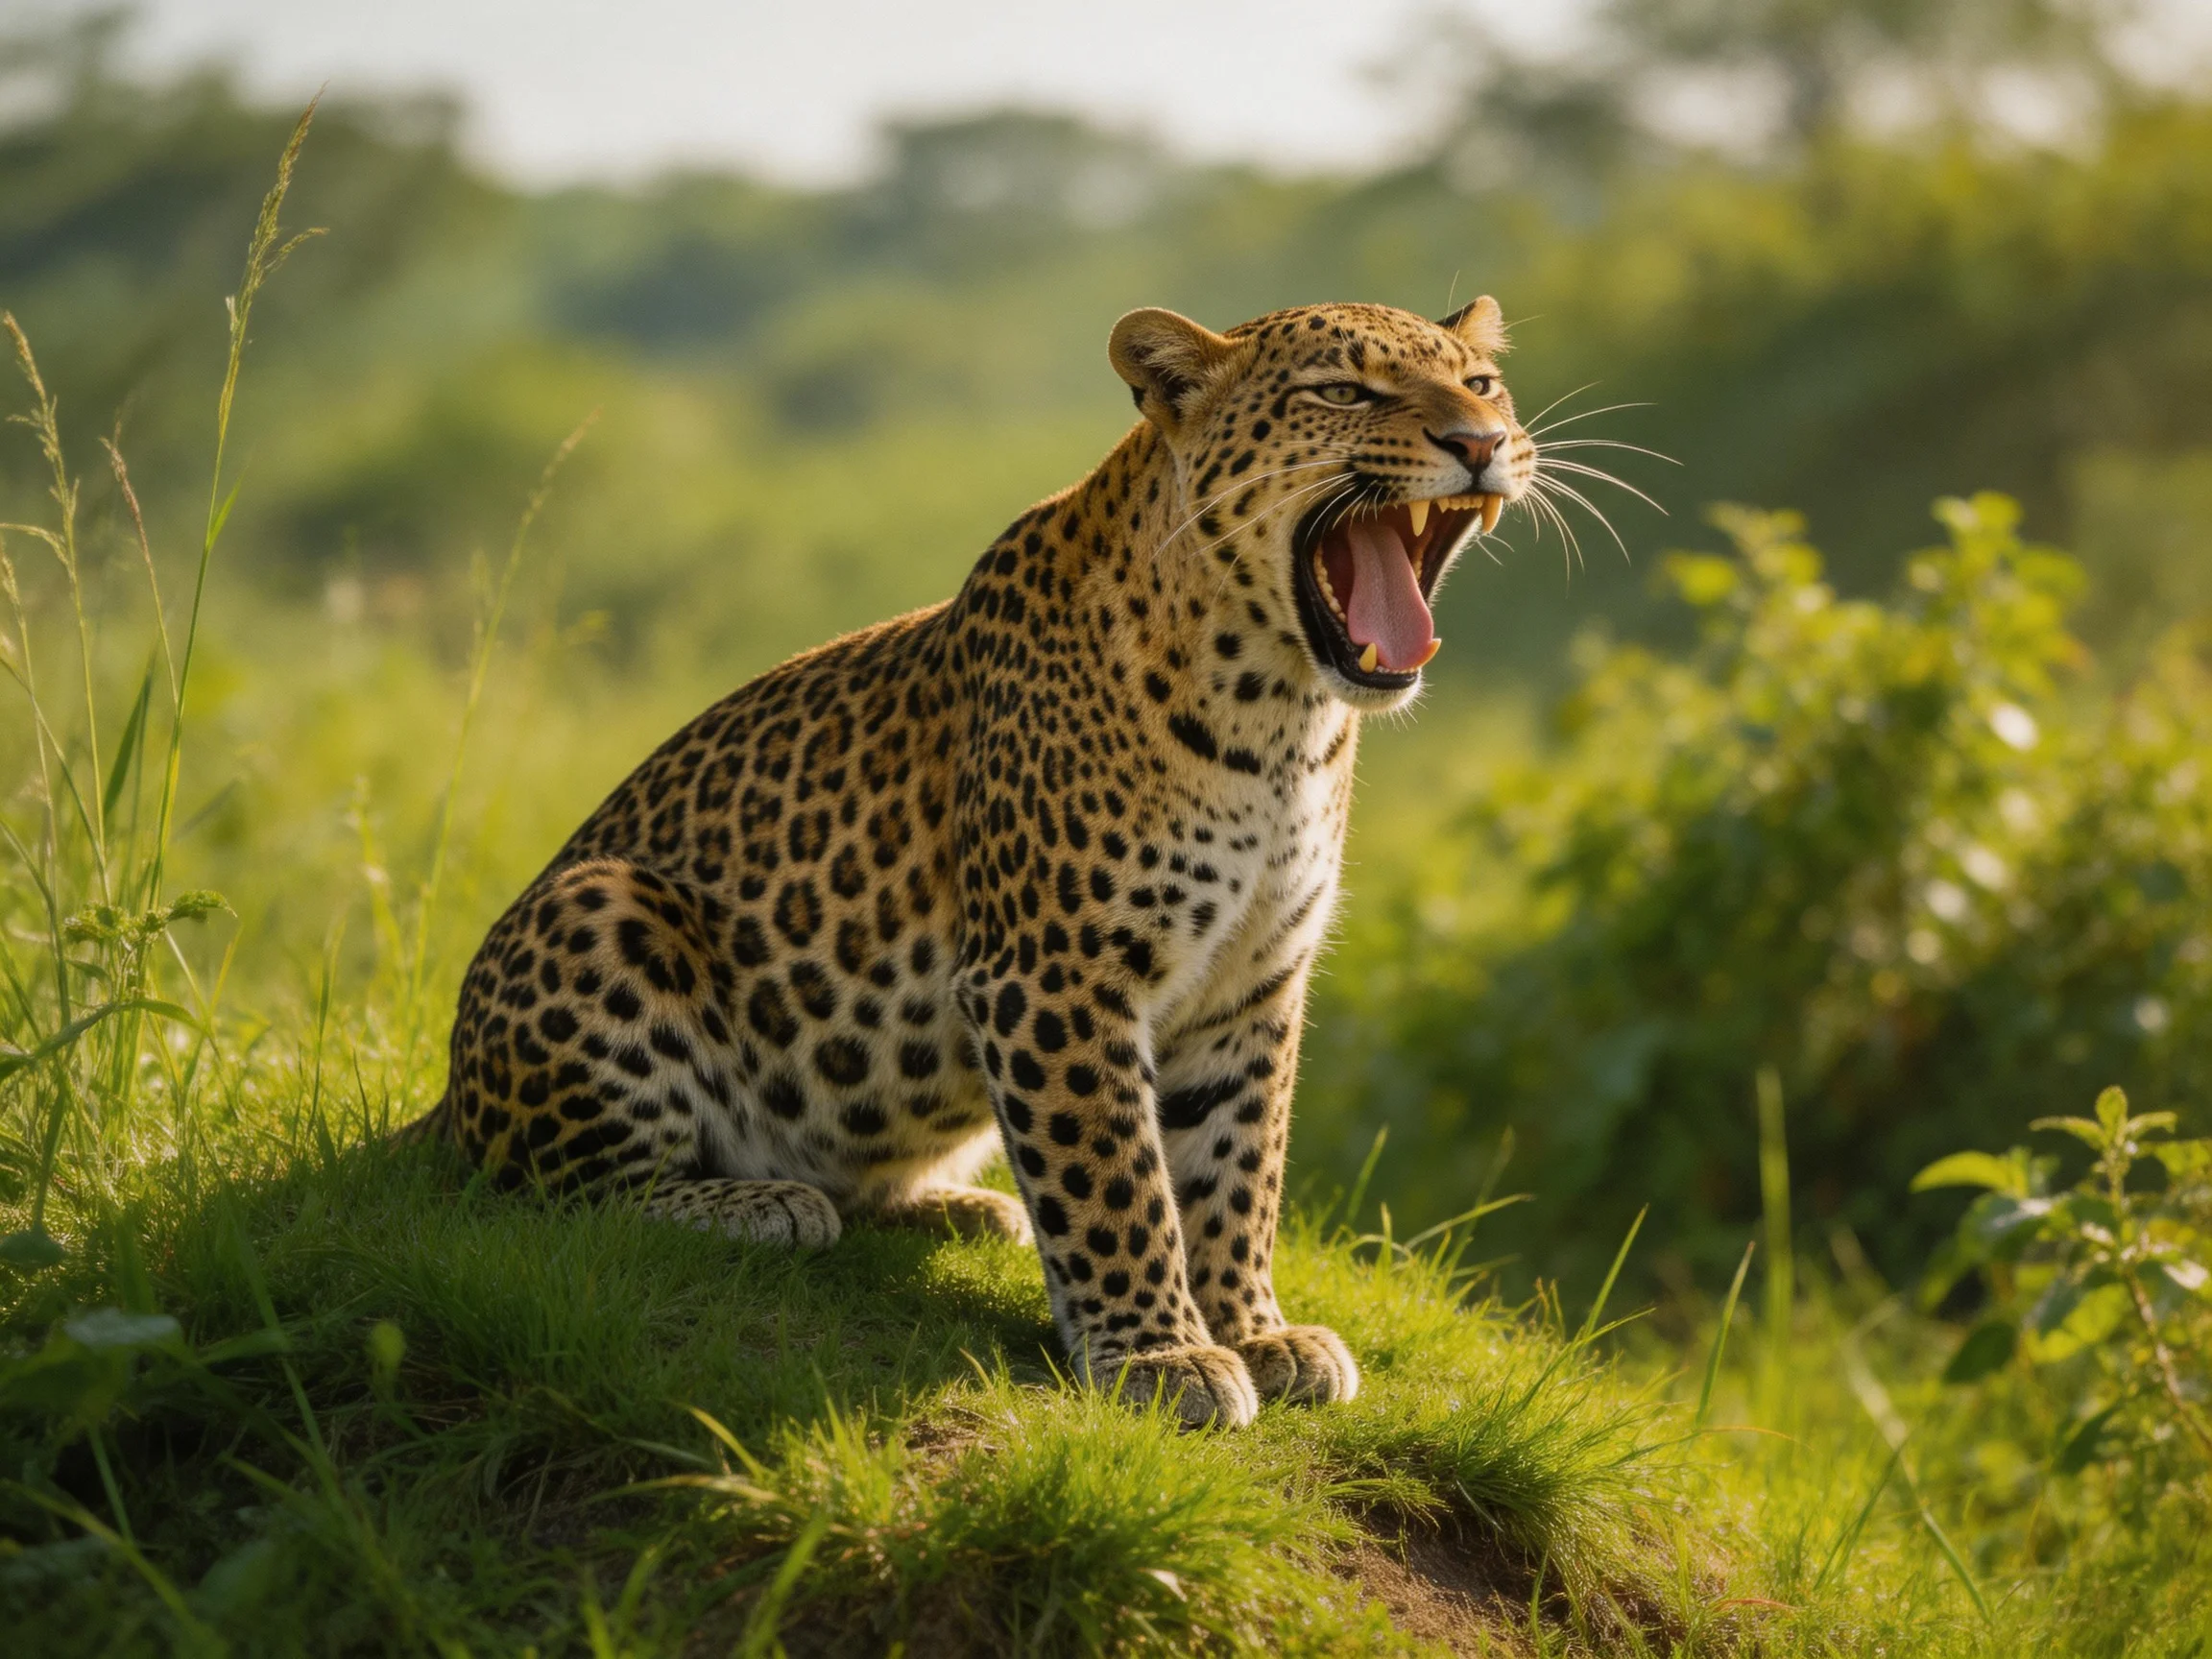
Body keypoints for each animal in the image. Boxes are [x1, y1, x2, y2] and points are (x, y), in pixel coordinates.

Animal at [406, 297, 1535, 1428]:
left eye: (1480, 385)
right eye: (1343, 392)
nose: (1480, 444)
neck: (1280, 717)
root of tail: (443, 1103)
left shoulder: (1251, 985)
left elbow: (1236, 1167)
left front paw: (1256, 1331)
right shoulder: (1060, 973)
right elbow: (1113, 1174)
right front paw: (1161, 1353)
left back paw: (965, 1211)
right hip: (600, 908)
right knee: (544, 1186)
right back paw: (759, 1202)